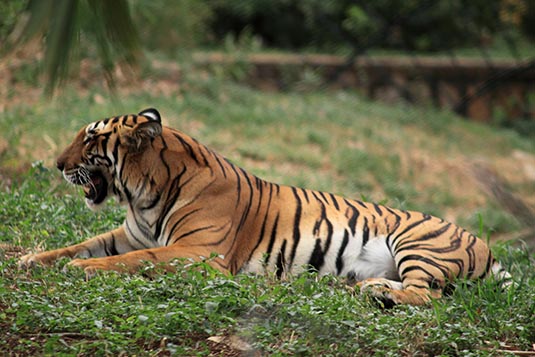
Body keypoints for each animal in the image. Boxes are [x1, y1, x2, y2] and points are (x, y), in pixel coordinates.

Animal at [18, 107, 512, 304]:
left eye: (91, 140)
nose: (56, 165)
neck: (144, 197)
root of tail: (488, 248)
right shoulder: (128, 235)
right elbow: (80, 245)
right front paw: (30, 260)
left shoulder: (200, 253)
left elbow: (131, 261)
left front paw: (81, 270)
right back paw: (368, 288)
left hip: (419, 243)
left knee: (431, 296)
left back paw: (378, 294)